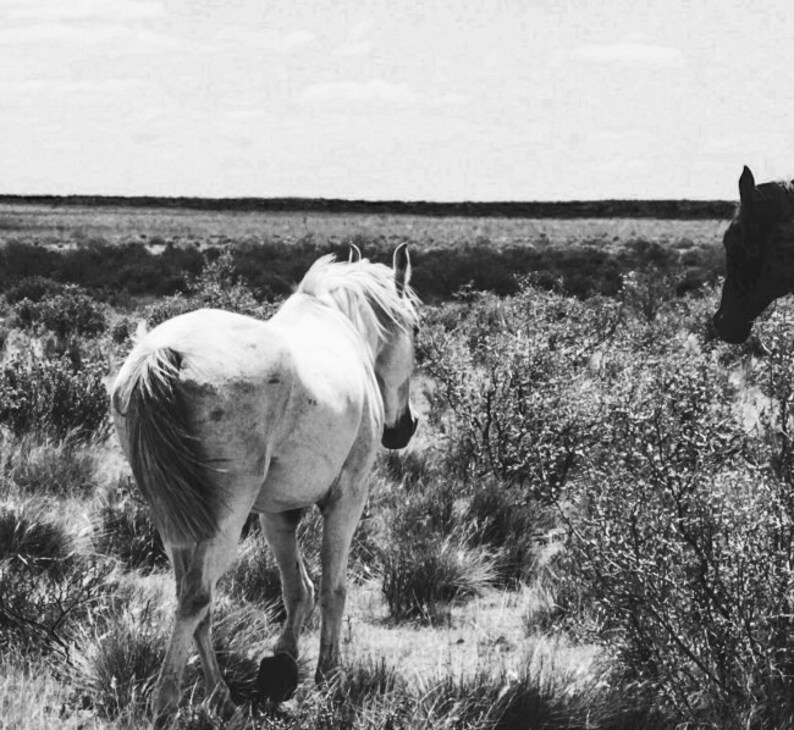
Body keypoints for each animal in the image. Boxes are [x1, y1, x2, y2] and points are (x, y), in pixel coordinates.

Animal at [110, 244, 420, 720]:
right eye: (417, 329)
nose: (405, 428)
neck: (343, 327)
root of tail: (164, 353)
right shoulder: (348, 497)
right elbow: (332, 588)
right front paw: (328, 675)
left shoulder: (278, 513)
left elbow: (297, 589)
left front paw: (283, 662)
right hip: (225, 518)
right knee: (196, 598)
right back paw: (167, 703)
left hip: (173, 520)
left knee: (195, 599)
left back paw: (220, 695)